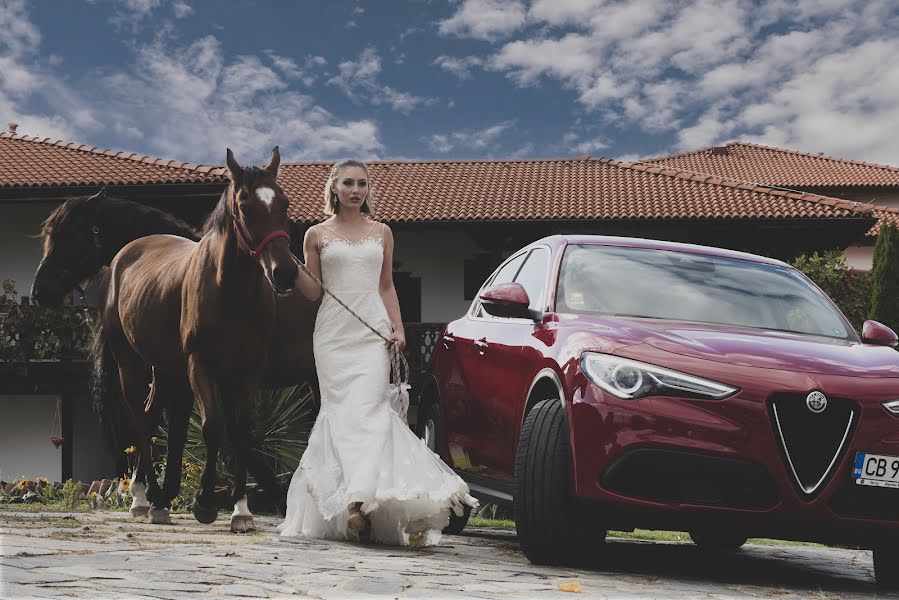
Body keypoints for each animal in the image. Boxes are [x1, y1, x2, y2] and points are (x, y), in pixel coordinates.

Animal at [96, 148, 298, 532]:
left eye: (285, 203)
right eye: (245, 207)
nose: (285, 274)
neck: (231, 291)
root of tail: (123, 257)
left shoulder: (247, 369)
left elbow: (240, 432)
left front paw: (241, 510)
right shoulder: (200, 364)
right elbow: (213, 427)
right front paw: (204, 503)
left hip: (166, 368)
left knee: (152, 416)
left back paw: (156, 500)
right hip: (130, 361)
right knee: (139, 419)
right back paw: (146, 499)